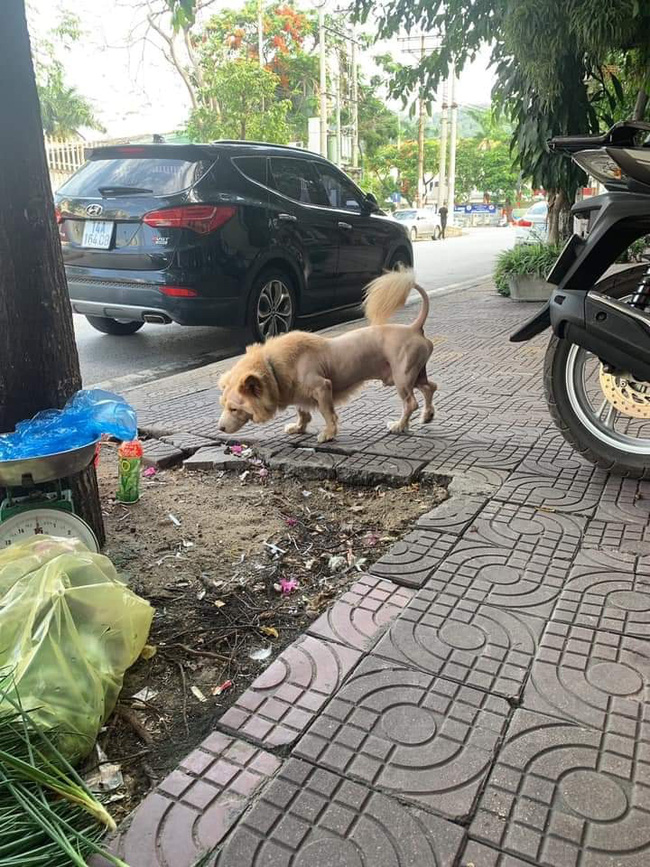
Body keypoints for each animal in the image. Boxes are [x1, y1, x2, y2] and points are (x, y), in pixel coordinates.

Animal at [218, 270, 436, 444]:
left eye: (234, 409)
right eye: (223, 406)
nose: (220, 428)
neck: (272, 367)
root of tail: (414, 327)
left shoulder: (323, 388)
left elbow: (327, 413)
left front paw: (328, 434)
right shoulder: (298, 394)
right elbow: (302, 412)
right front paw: (298, 427)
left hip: (402, 378)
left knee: (411, 403)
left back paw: (400, 425)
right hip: (414, 375)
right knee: (430, 387)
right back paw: (427, 415)